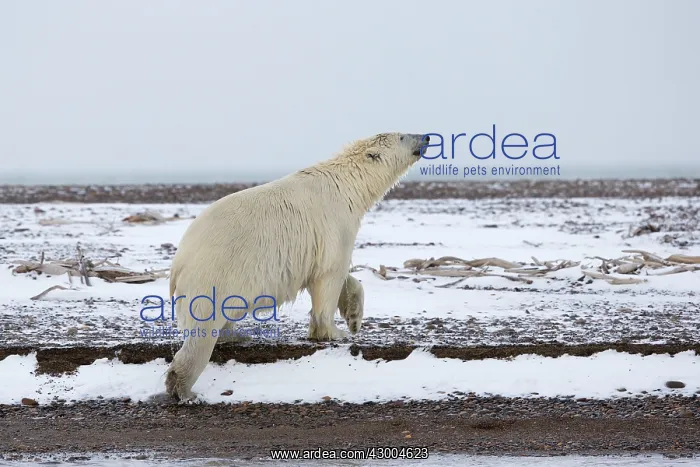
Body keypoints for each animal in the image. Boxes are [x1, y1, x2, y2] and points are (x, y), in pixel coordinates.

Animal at [164, 132, 429, 401]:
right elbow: (330, 275)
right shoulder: (334, 225)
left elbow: (342, 278)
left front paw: (354, 319)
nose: (427, 137)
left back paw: (237, 335)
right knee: (203, 330)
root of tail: (178, 262)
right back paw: (182, 386)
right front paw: (333, 332)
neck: (345, 184)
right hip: (214, 274)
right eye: (403, 136)